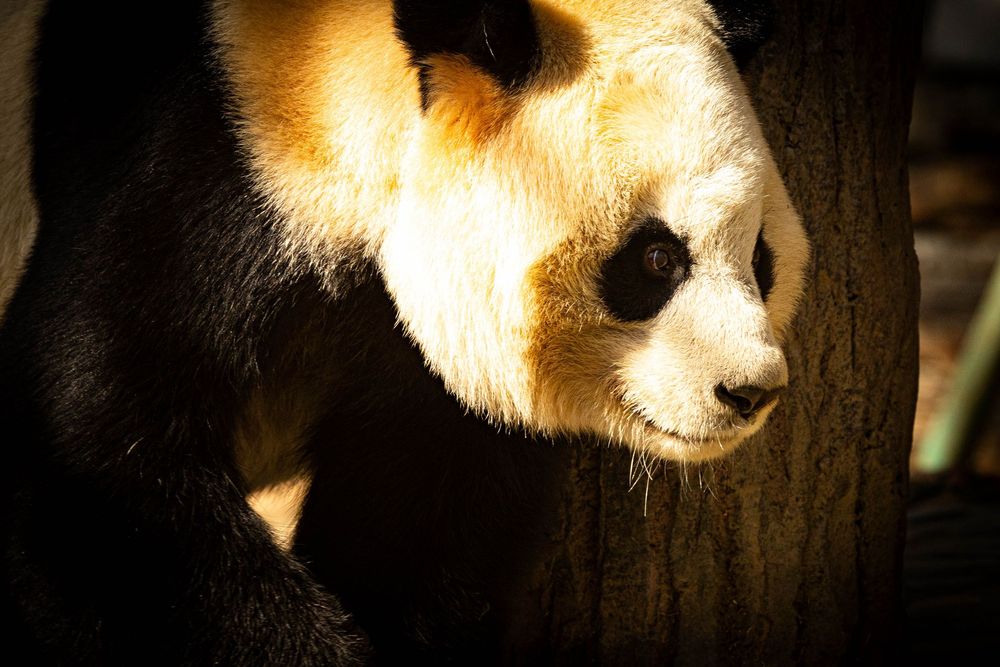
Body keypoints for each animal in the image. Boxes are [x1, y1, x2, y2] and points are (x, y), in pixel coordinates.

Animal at [0, 0, 808, 663]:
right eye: (657, 257)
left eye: (760, 258)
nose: (748, 391)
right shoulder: (198, 185)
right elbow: (98, 451)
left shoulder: (422, 366)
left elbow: (420, 533)